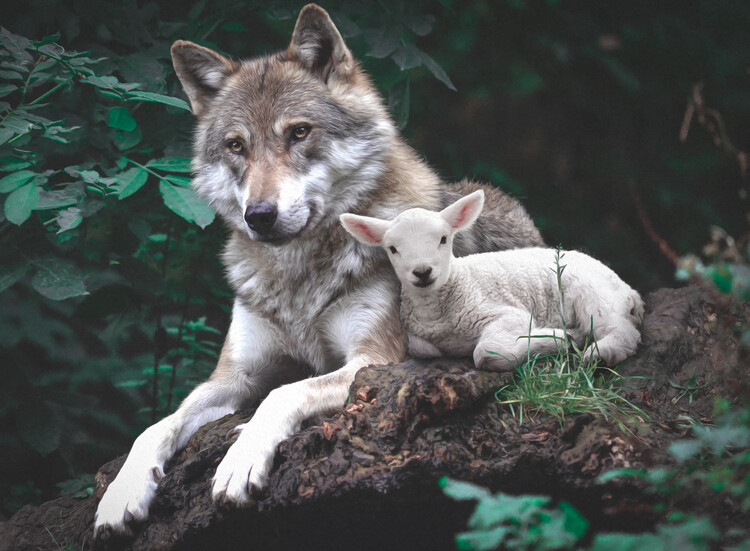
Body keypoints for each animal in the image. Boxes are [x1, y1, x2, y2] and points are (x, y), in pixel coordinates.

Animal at [94, 3, 544, 537]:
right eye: (236, 146)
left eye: (299, 132)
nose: (259, 215)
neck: (297, 275)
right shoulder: (234, 377)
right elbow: (155, 426)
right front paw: (121, 493)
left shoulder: (374, 361)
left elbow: (284, 392)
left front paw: (240, 459)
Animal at [340, 190, 644, 371]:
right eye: (392, 249)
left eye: (443, 239)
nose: (423, 272)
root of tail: (629, 290)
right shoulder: (415, 337)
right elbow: (424, 348)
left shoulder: (508, 315)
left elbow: (486, 353)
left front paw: (554, 340)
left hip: (594, 293)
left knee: (622, 331)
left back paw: (600, 353)